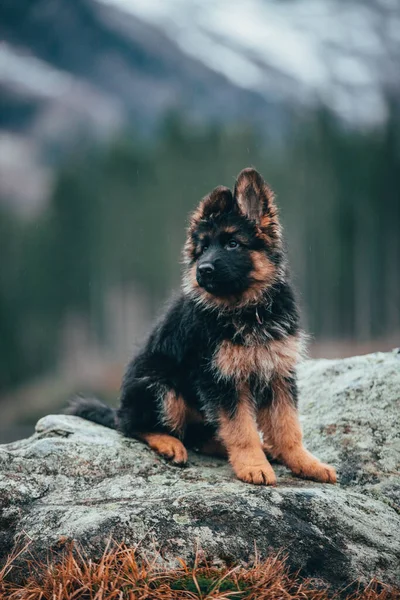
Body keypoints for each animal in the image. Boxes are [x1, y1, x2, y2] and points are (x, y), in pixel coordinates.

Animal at [67, 166, 336, 486]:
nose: (202, 270)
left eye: (233, 243)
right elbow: (240, 429)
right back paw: (169, 443)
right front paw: (253, 465)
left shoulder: (277, 374)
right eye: (203, 248)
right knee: (132, 426)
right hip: (162, 387)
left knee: (200, 435)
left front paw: (305, 463)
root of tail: (121, 407)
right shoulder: (221, 380)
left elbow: (288, 427)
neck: (247, 309)